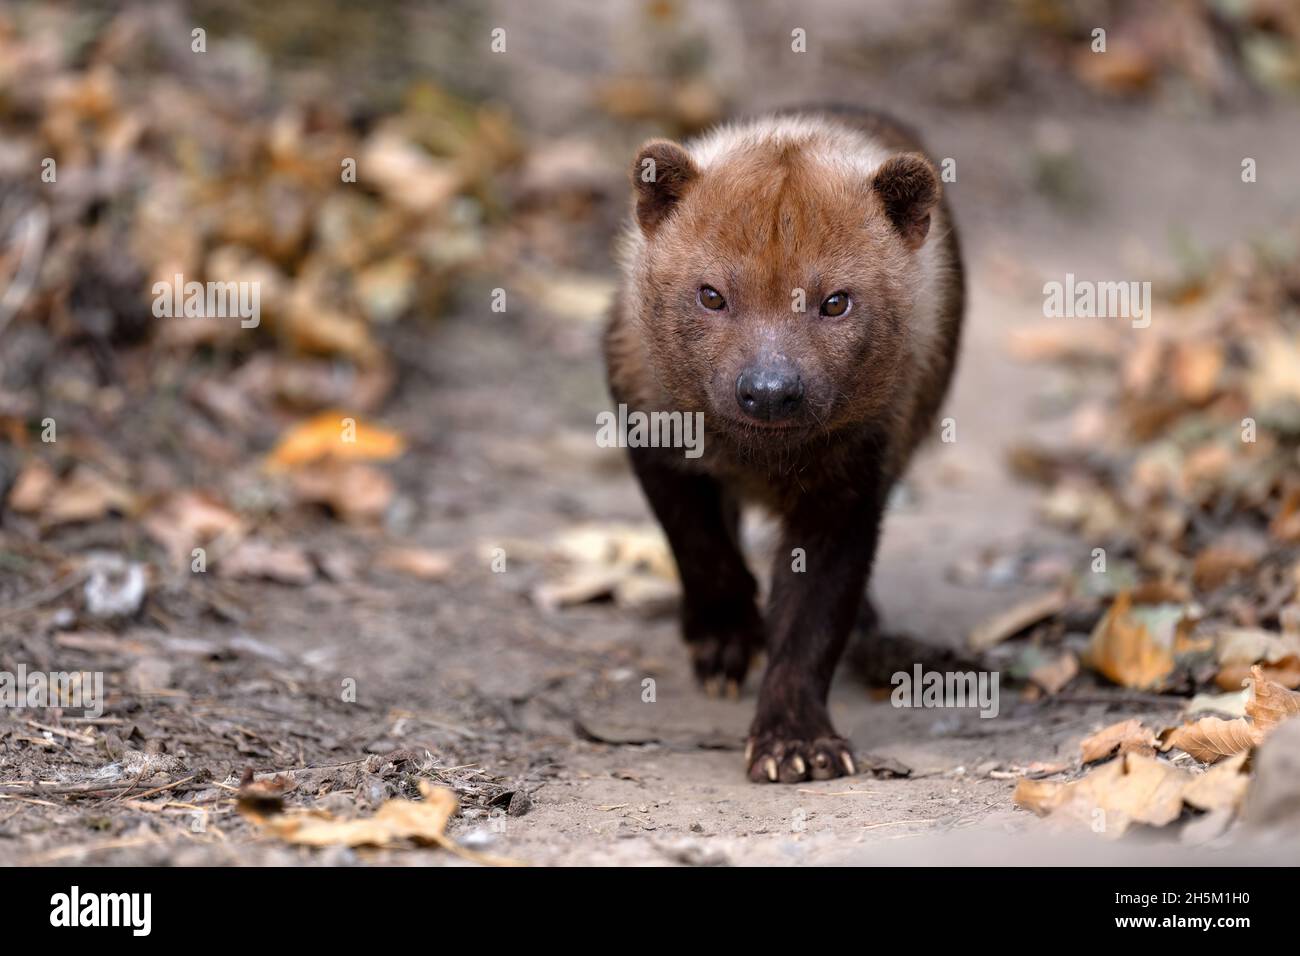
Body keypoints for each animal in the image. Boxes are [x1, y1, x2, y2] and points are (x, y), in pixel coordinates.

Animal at [603, 108, 961, 785]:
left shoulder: (850, 488)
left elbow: (813, 620)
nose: (769, 392)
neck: (757, 461)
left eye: (835, 302)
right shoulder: (648, 428)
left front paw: (795, 742)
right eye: (711, 294)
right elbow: (698, 544)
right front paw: (724, 642)